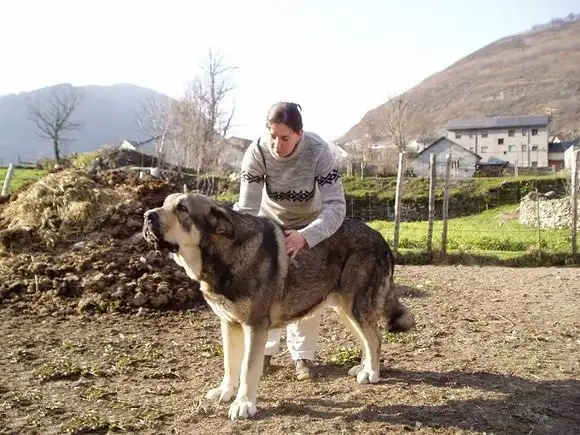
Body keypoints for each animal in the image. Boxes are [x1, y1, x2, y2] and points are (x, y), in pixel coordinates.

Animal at [142, 192, 412, 420]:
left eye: (182, 208)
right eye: (165, 203)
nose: (147, 216)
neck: (223, 254)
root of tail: (379, 236)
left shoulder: (255, 326)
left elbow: (248, 368)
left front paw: (243, 404)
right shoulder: (229, 323)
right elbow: (230, 363)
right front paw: (225, 391)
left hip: (356, 306)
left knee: (375, 338)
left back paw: (372, 374)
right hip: (344, 308)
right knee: (367, 338)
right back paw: (363, 368)